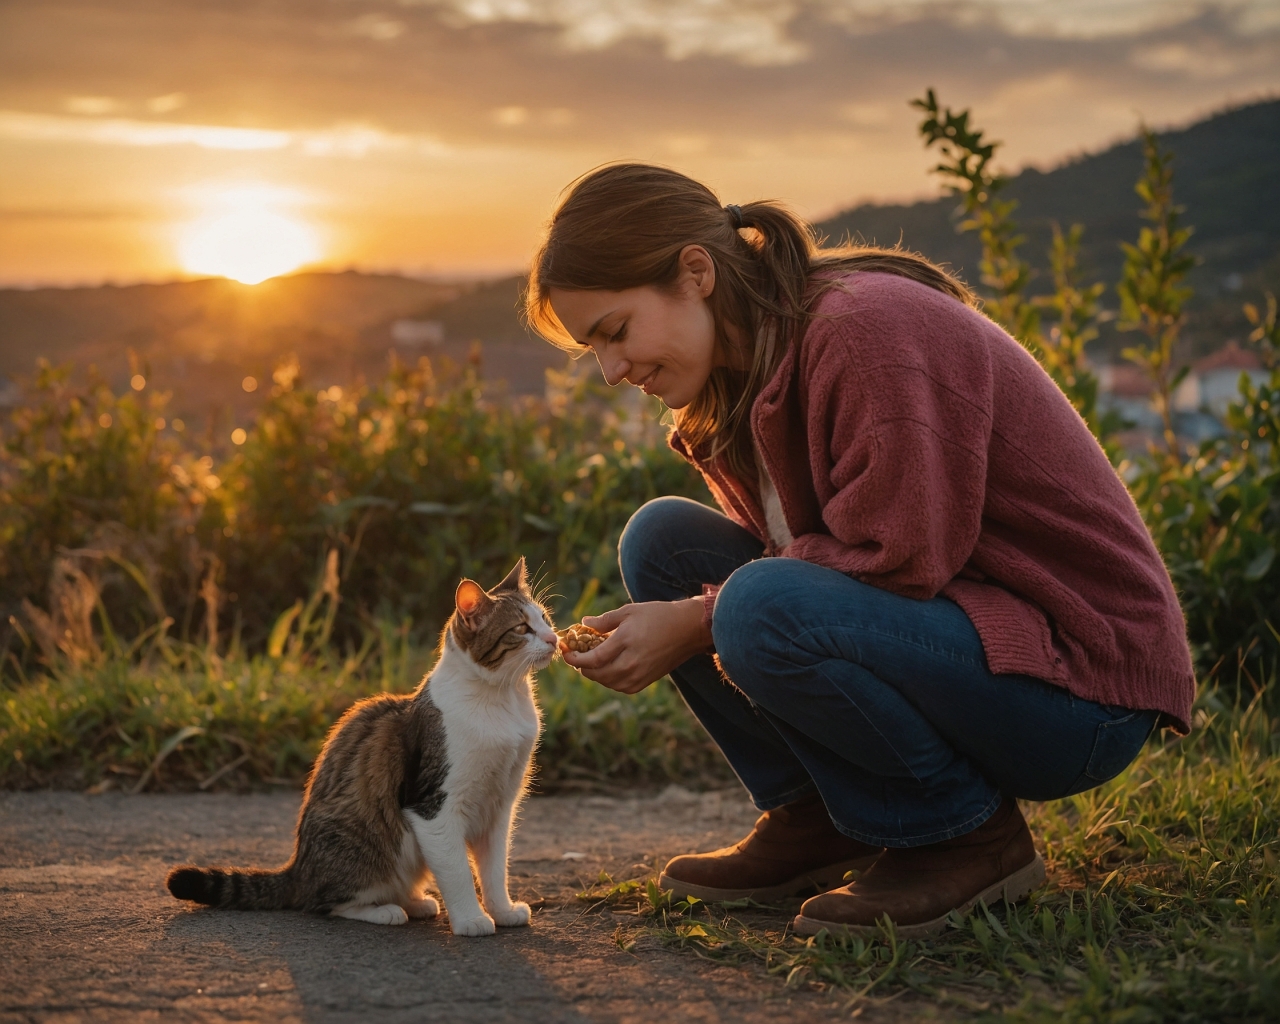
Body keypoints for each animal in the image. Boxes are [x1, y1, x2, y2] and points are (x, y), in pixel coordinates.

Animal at [165, 560, 555, 936]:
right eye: (522, 628)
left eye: (544, 618)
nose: (553, 638)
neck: (502, 699)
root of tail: (298, 867)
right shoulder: (433, 805)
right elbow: (457, 869)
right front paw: (471, 920)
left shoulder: (499, 806)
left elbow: (494, 868)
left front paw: (501, 911)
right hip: (363, 848)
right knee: (324, 902)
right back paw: (385, 910)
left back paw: (415, 901)